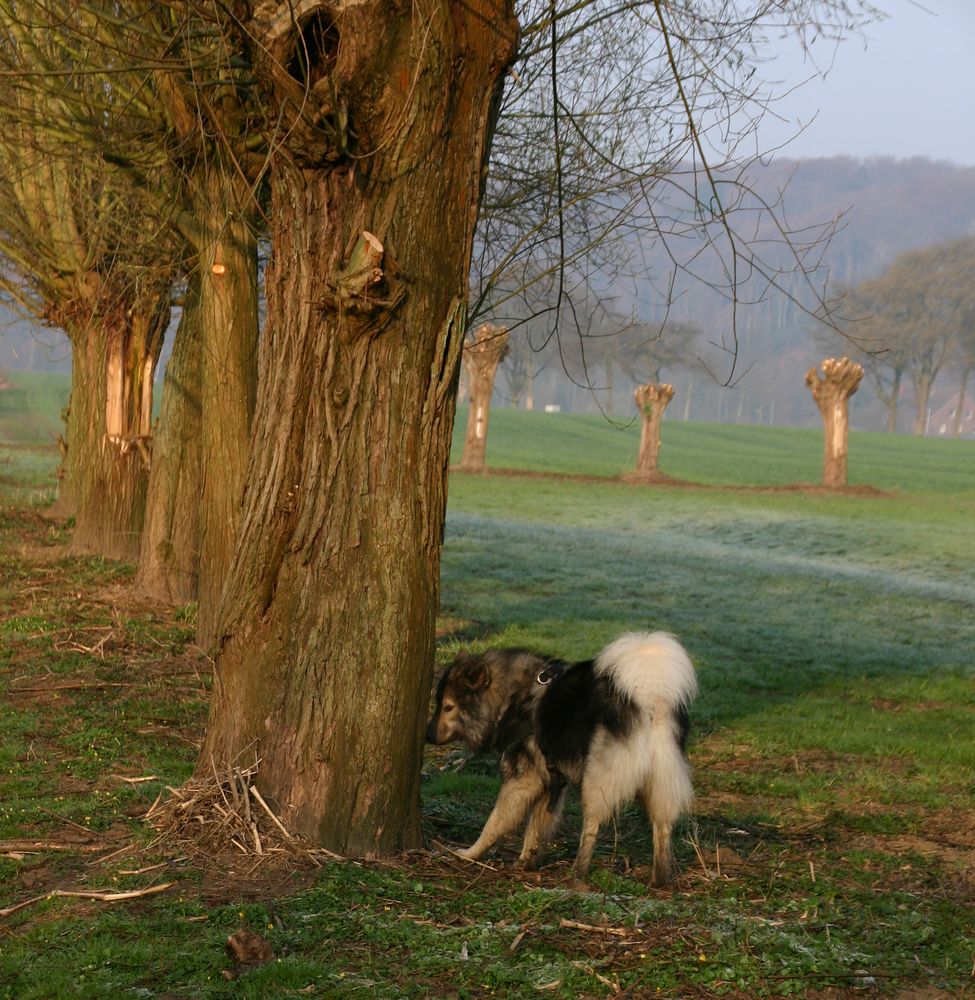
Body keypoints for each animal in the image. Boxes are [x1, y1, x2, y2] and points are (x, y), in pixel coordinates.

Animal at [426, 632, 692, 884]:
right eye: (439, 704)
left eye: (448, 707)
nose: (427, 734)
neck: (512, 698)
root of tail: (649, 700)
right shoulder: (550, 783)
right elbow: (535, 828)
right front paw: (526, 861)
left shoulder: (524, 781)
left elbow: (495, 822)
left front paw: (469, 853)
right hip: (659, 785)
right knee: (662, 827)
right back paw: (659, 876)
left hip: (596, 782)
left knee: (592, 826)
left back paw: (578, 870)